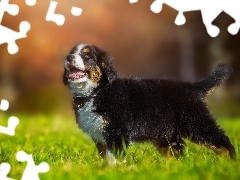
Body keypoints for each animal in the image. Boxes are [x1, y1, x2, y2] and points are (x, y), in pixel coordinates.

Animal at [63, 44, 236, 162]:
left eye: (87, 56)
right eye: (72, 52)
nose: (68, 57)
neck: (96, 92)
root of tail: (193, 87)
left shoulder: (117, 132)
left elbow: (113, 158)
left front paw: (114, 172)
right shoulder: (100, 136)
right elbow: (104, 157)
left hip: (197, 123)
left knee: (222, 142)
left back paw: (230, 163)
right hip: (167, 135)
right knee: (177, 154)